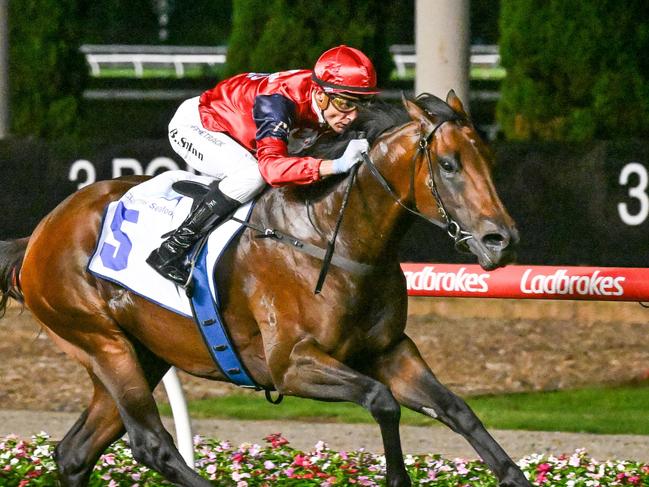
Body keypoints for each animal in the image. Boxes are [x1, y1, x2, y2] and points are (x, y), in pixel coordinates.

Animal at [0, 92, 528, 487]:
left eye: (489, 160)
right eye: (449, 164)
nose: (501, 239)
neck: (330, 235)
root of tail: (42, 231)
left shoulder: (391, 350)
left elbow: (457, 409)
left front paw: (512, 474)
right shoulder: (290, 365)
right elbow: (382, 401)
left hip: (142, 353)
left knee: (74, 453)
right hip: (101, 341)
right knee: (152, 445)